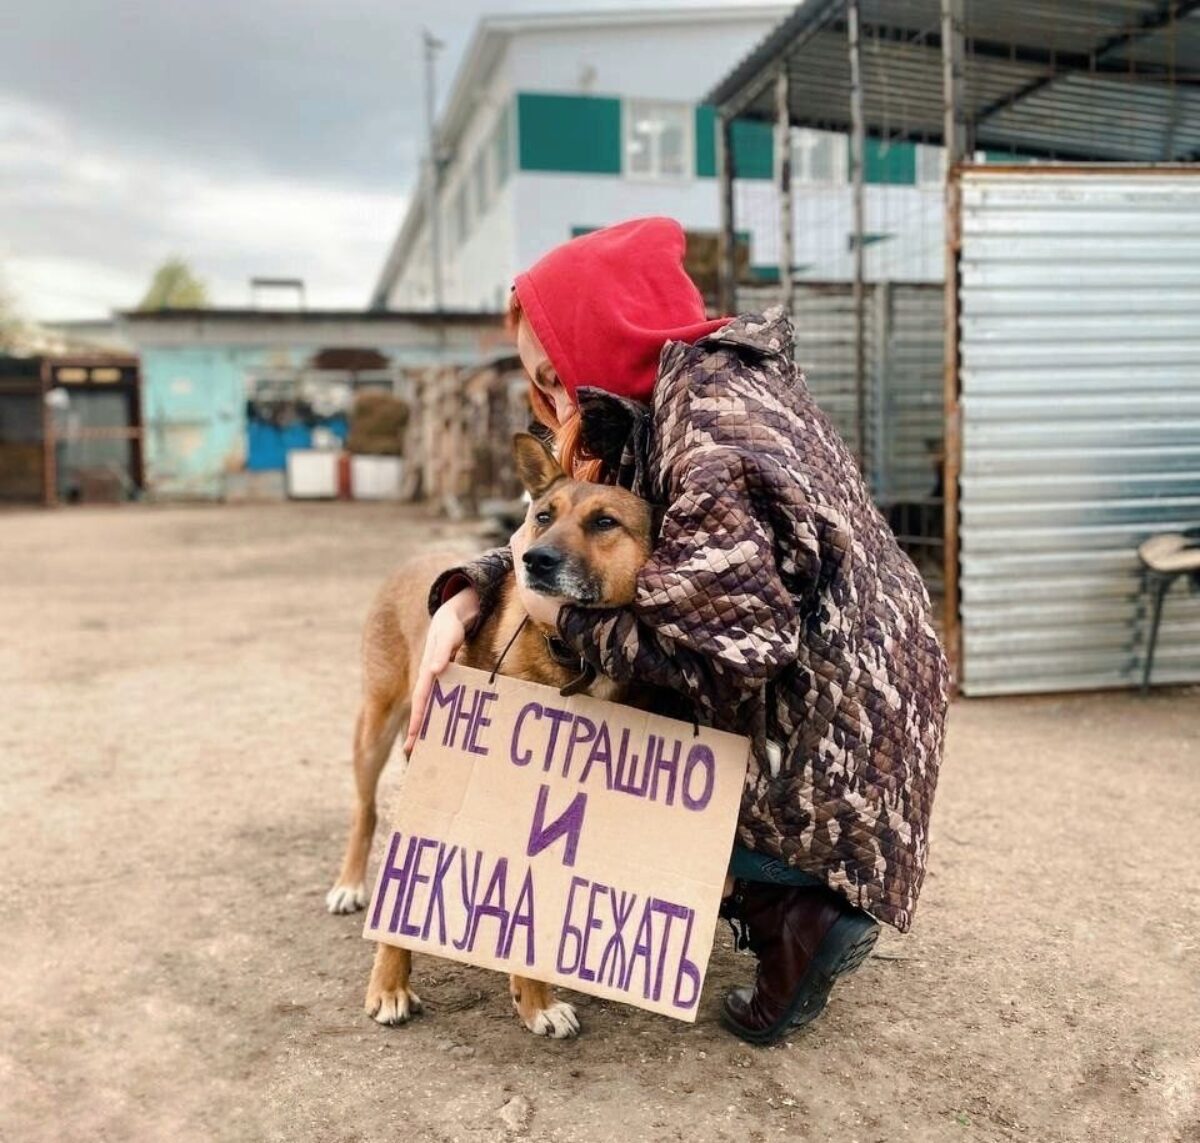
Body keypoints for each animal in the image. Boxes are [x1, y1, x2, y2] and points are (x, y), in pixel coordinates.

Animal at [326, 432, 657, 1042]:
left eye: (604, 522)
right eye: (543, 516)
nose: (534, 559)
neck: (570, 653)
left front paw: (533, 997)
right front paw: (389, 986)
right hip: (376, 729)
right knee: (365, 812)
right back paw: (350, 885)